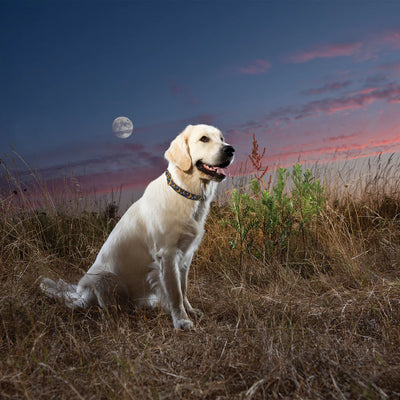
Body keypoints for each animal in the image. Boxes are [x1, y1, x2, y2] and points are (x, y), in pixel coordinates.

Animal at [40, 123, 234, 330]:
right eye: (204, 139)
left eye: (221, 138)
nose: (230, 149)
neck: (187, 194)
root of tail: (80, 294)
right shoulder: (167, 254)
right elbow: (175, 293)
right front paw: (181, 321)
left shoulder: (186, 254)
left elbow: (183, 288)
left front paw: (190, 311)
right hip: (103, 278)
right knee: (106, 305)